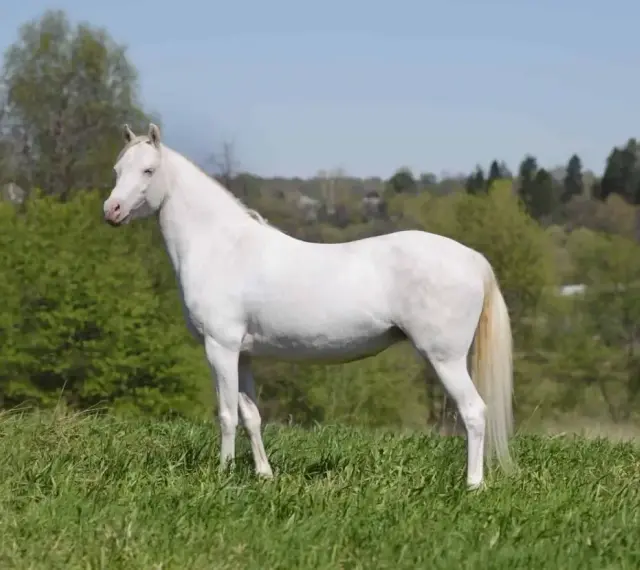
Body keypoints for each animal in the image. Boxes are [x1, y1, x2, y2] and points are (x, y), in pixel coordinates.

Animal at [103, 123, 514, 490]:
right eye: (118, 169)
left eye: (149, 170)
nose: (112, 210)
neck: (223, 247)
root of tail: (472, 258)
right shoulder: (243, 354)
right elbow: (251, 415)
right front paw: (263, 475)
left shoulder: (220, 348)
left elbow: (226, 415)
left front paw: (222, 474)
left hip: (445, 358)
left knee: (474, 412)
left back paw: (472, 484)